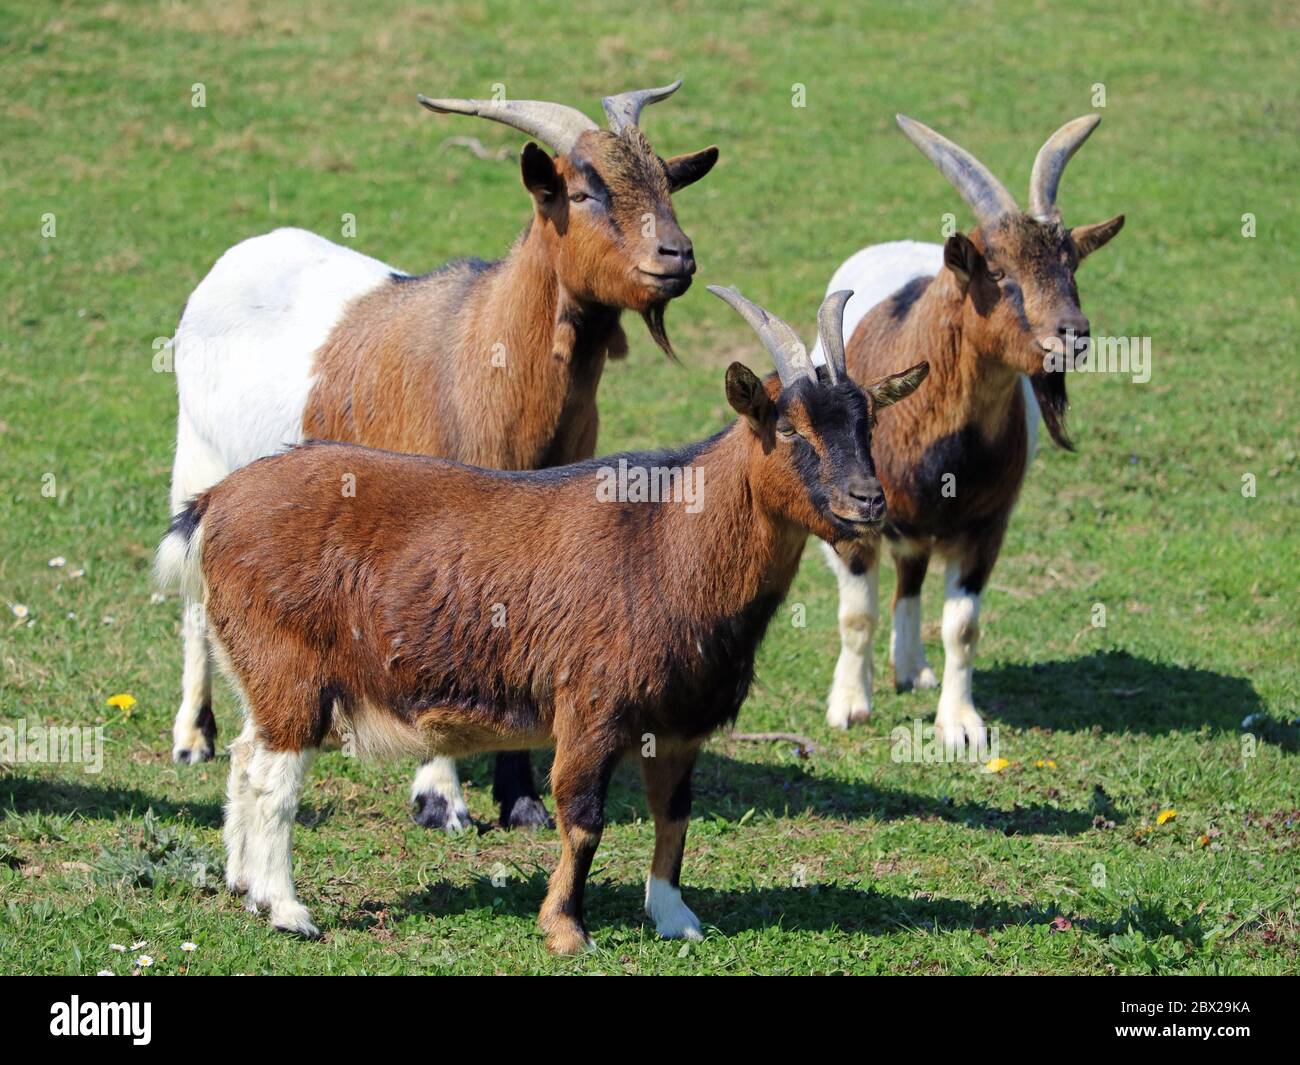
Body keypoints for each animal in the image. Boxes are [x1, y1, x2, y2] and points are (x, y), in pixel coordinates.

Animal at [157, 287, 930, 951]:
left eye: (867, 422)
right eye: (788, 428)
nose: (868, 499)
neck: (665, 540)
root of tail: (214, 503)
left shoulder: (680, 721)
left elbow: (674, 813)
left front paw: (675, 917)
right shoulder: (591, 706)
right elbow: (582, 817)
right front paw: (566, 928)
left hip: (258, 670)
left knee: (245, 758)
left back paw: (245, 887)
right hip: (288, 664)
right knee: (274, 781)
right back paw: (288, 910)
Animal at [811, 114, 1128, 749]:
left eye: (1071, 266)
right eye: (999, 272)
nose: (1073, 333)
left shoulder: (986, 525)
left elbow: (962, 628)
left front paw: (960, 726)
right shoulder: (854, 518)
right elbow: (856, 614)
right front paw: (849, 705)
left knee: (910, 576)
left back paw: (912, 669)